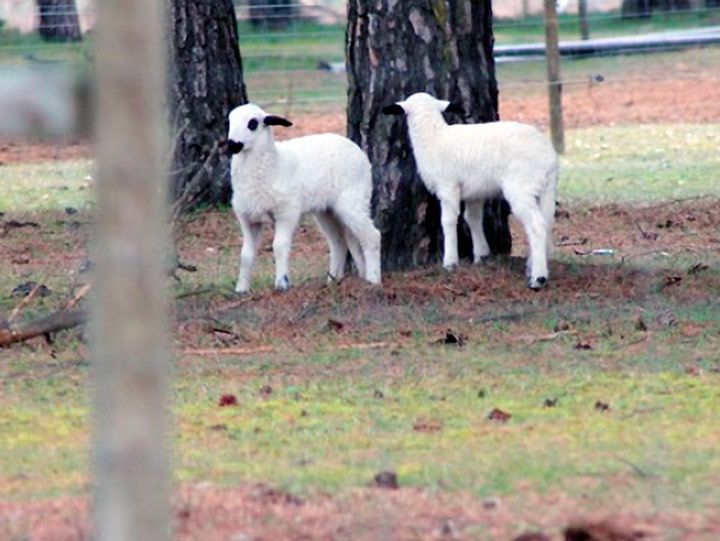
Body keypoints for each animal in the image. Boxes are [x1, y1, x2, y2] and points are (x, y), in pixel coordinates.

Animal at [228, 103, 382, 294]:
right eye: (229, 122)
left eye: (253, 123)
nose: (232, 144)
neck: (274, 165)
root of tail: (359, 152)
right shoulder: (248, 218)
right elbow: (246, 254)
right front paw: (241, 288)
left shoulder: (287, 212)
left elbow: (279, 246)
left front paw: (282, 283)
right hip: (327, 211)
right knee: (339, 243)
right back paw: (333, 281)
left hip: (353, 200)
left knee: (372, 236)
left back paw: (373, 280)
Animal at [382, 92, 556, 292]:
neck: (434, 137)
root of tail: (549, 157)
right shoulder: (475, 193)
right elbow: (472, 219)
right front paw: (481, 255)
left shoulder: (448, 186)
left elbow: (448, 221)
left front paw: (450, 262)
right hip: (545, 189)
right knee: (547, 222)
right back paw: (533, 265)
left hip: (520, 187)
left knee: (536, 225)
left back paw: (538, 278)